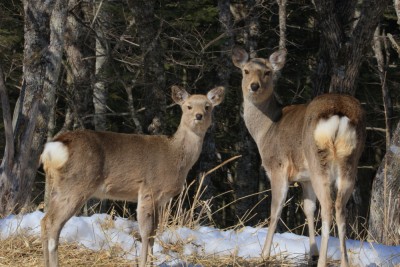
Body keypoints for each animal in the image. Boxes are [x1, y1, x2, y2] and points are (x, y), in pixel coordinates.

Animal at [40, 86, 225, 267]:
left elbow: (154, 233)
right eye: (188, 106)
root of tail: (55, 147)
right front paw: (143, 263)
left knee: (44, 220)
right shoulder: (149, 190)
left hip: (55, 185)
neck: (176, 156)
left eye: (207, 106)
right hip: (76, 185)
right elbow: (145, 232)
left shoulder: (159, 201)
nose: (199, 116)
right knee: (53, 223)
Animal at [231, 47, 366, 266]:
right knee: (340, 209)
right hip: (350, 162)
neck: (265, 131)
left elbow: (275, 210)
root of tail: (338, 114)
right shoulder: (306, 178)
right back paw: (344, 261)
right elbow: (308, 209)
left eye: (267, 72)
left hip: (319, 161)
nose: (254, 86)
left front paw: (264, 254)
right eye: (246, 70)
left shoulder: (277, 167)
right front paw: (312, 253)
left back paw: (323, 262)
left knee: (328, 208)